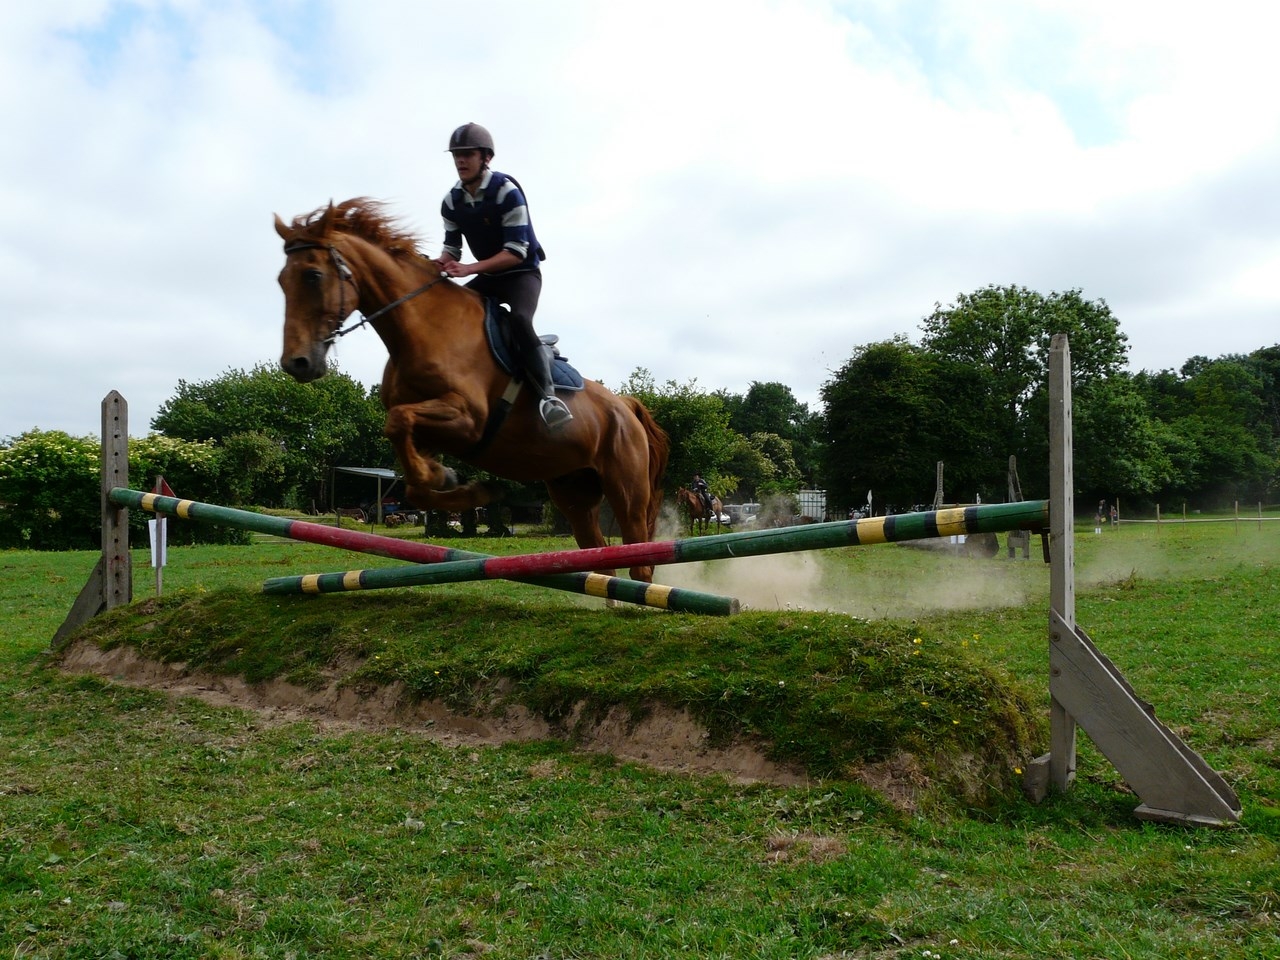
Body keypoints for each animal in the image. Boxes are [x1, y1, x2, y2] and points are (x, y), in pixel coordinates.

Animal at [271, 199, 670, 583]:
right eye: (281, 280)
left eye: (313, 275)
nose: (297, 363)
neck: (416, 330)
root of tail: (625, 406)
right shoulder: (430, 433)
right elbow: (411, 474)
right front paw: (460, 484)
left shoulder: (468, 419)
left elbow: (399, 422)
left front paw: (455, 482)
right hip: (573, 490)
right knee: (602, 556)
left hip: (626, 490)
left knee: (639, 558)